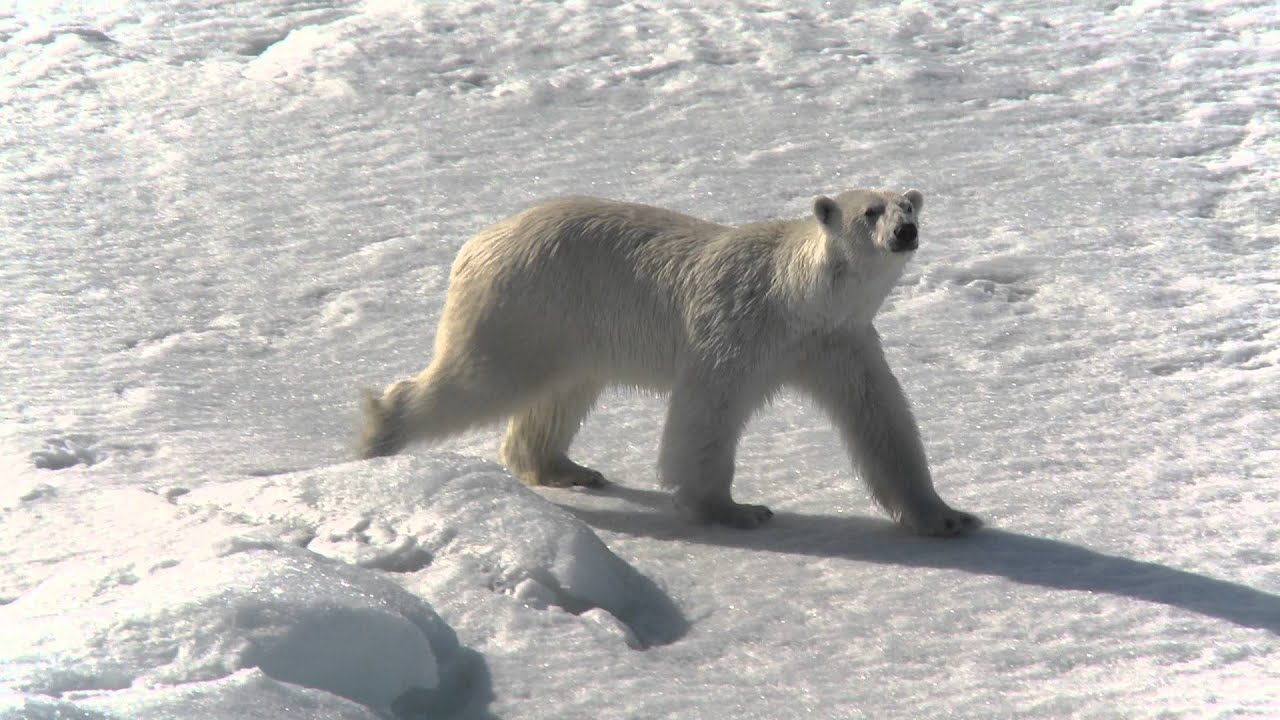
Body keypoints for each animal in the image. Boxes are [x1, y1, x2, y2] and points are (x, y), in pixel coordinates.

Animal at [358, 189, 981, 536]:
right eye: (870, 210)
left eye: (907, 205)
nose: (905, 230)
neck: (796, 295)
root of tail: (477, 241)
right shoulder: (738, 327)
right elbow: (706, 413)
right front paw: (735, 510)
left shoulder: (838, 342)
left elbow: (882, 420)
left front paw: (949, 517)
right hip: (526, 306)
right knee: (480, 380)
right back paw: (378, 435)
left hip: (569, 328)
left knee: (559, 396)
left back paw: (566, 468)